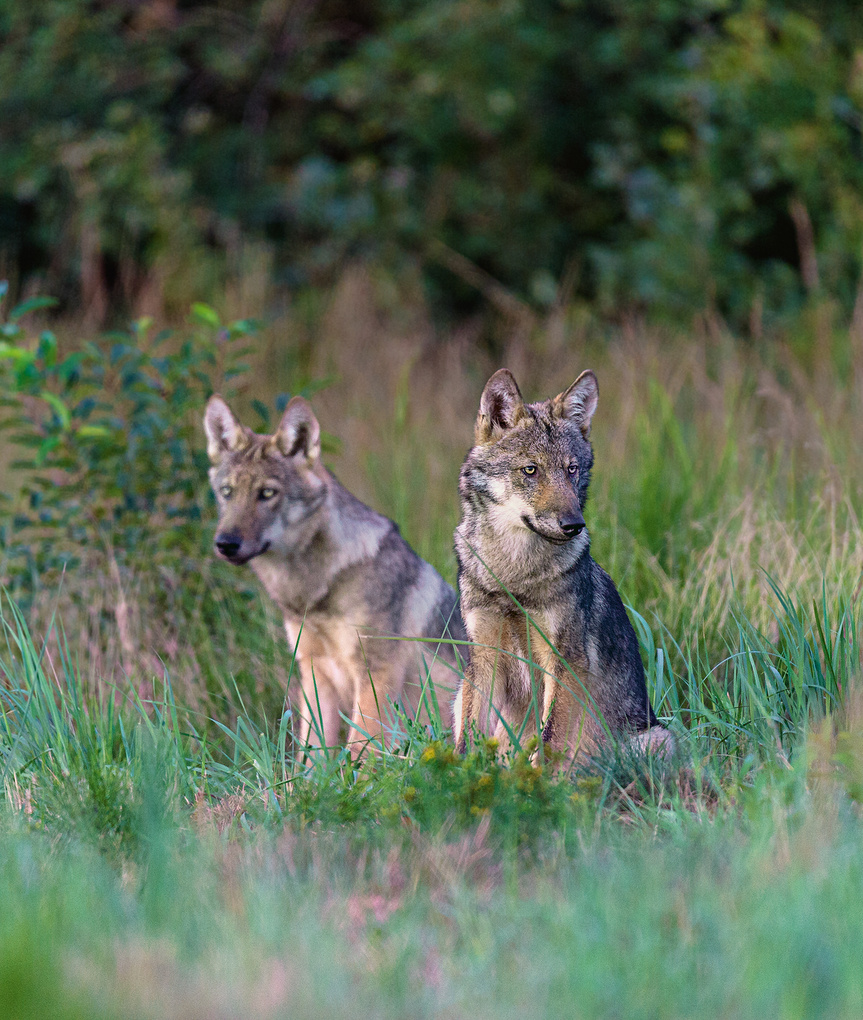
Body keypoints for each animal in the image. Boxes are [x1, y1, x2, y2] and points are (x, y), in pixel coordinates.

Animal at [204, 394, 465, 755]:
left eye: (267, 493)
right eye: (227, 492)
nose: (225, 543)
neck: (315, 590)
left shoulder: (374, 675)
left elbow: (361, 748)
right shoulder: (315, 673)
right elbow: (311, 752)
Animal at [453, 368, 672, 764]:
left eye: (571, 470)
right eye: (530, 470)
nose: (574, 525)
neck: (515, 575)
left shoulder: (565, 661)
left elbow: (551, 739)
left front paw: (540, 779)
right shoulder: (484, 658)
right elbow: (468, 740)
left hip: (656, 740)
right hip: (459, 689)